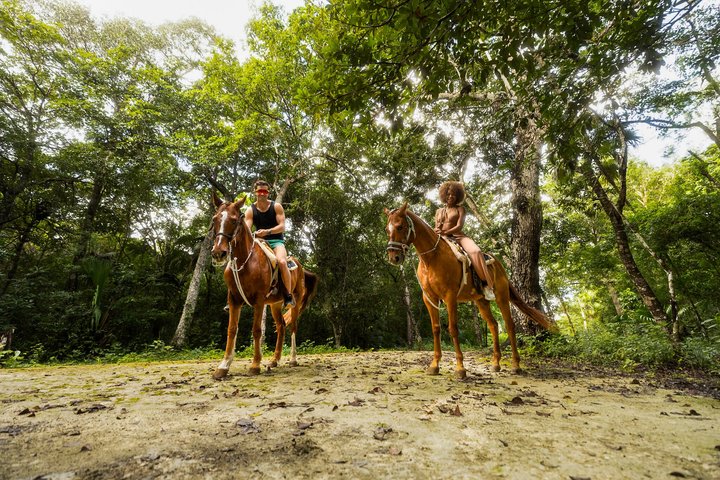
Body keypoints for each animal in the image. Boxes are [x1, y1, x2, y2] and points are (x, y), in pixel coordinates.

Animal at [210, 192, 318, 379]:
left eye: (234, 220)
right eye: (215, 218)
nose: (218, 252)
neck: (245, 262)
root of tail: (301, 267)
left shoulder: (259, 300)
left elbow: (256, 330)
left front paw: (255, 364)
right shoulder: (233, 299)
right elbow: (232, 330)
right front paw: (223, 366)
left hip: (295, 301)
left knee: (293, 326)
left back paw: (293, 359)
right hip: (275, 304)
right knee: (281, 327)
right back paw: (274, 361)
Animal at [384, 202, 557, 379]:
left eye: (400, 226)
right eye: (386, 229)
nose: (393, 257)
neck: (432, 258)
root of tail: (500, 266)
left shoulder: (450, 297)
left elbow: (453, 329)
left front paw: (460, 368)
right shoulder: (430, 299)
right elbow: (436, 329)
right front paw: (434, 365)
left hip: (501, 297)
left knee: (509, 325)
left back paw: (515, 365)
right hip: (481, 301)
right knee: (494, 325)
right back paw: (496, 363)